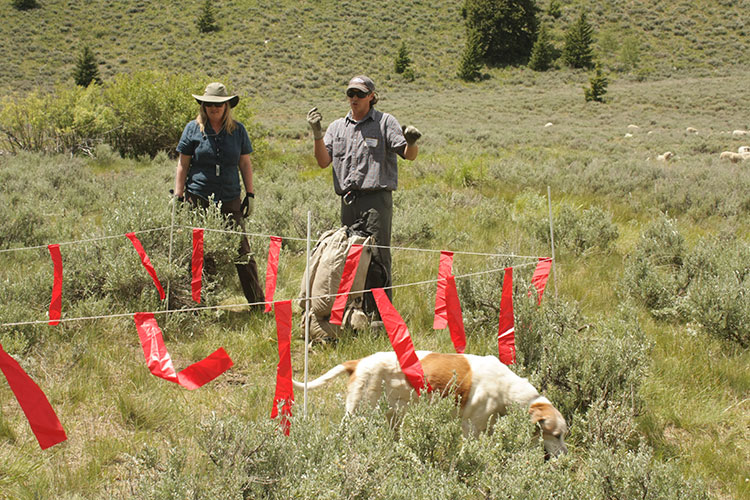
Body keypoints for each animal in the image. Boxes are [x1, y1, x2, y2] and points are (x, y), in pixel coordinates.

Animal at [294, 352, 568, 458]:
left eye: (563, 435)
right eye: (556, 435)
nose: (565, 456)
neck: (507, 388)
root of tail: (359, 362)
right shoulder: (471, 428)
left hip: (392, 417)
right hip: (358, 414)